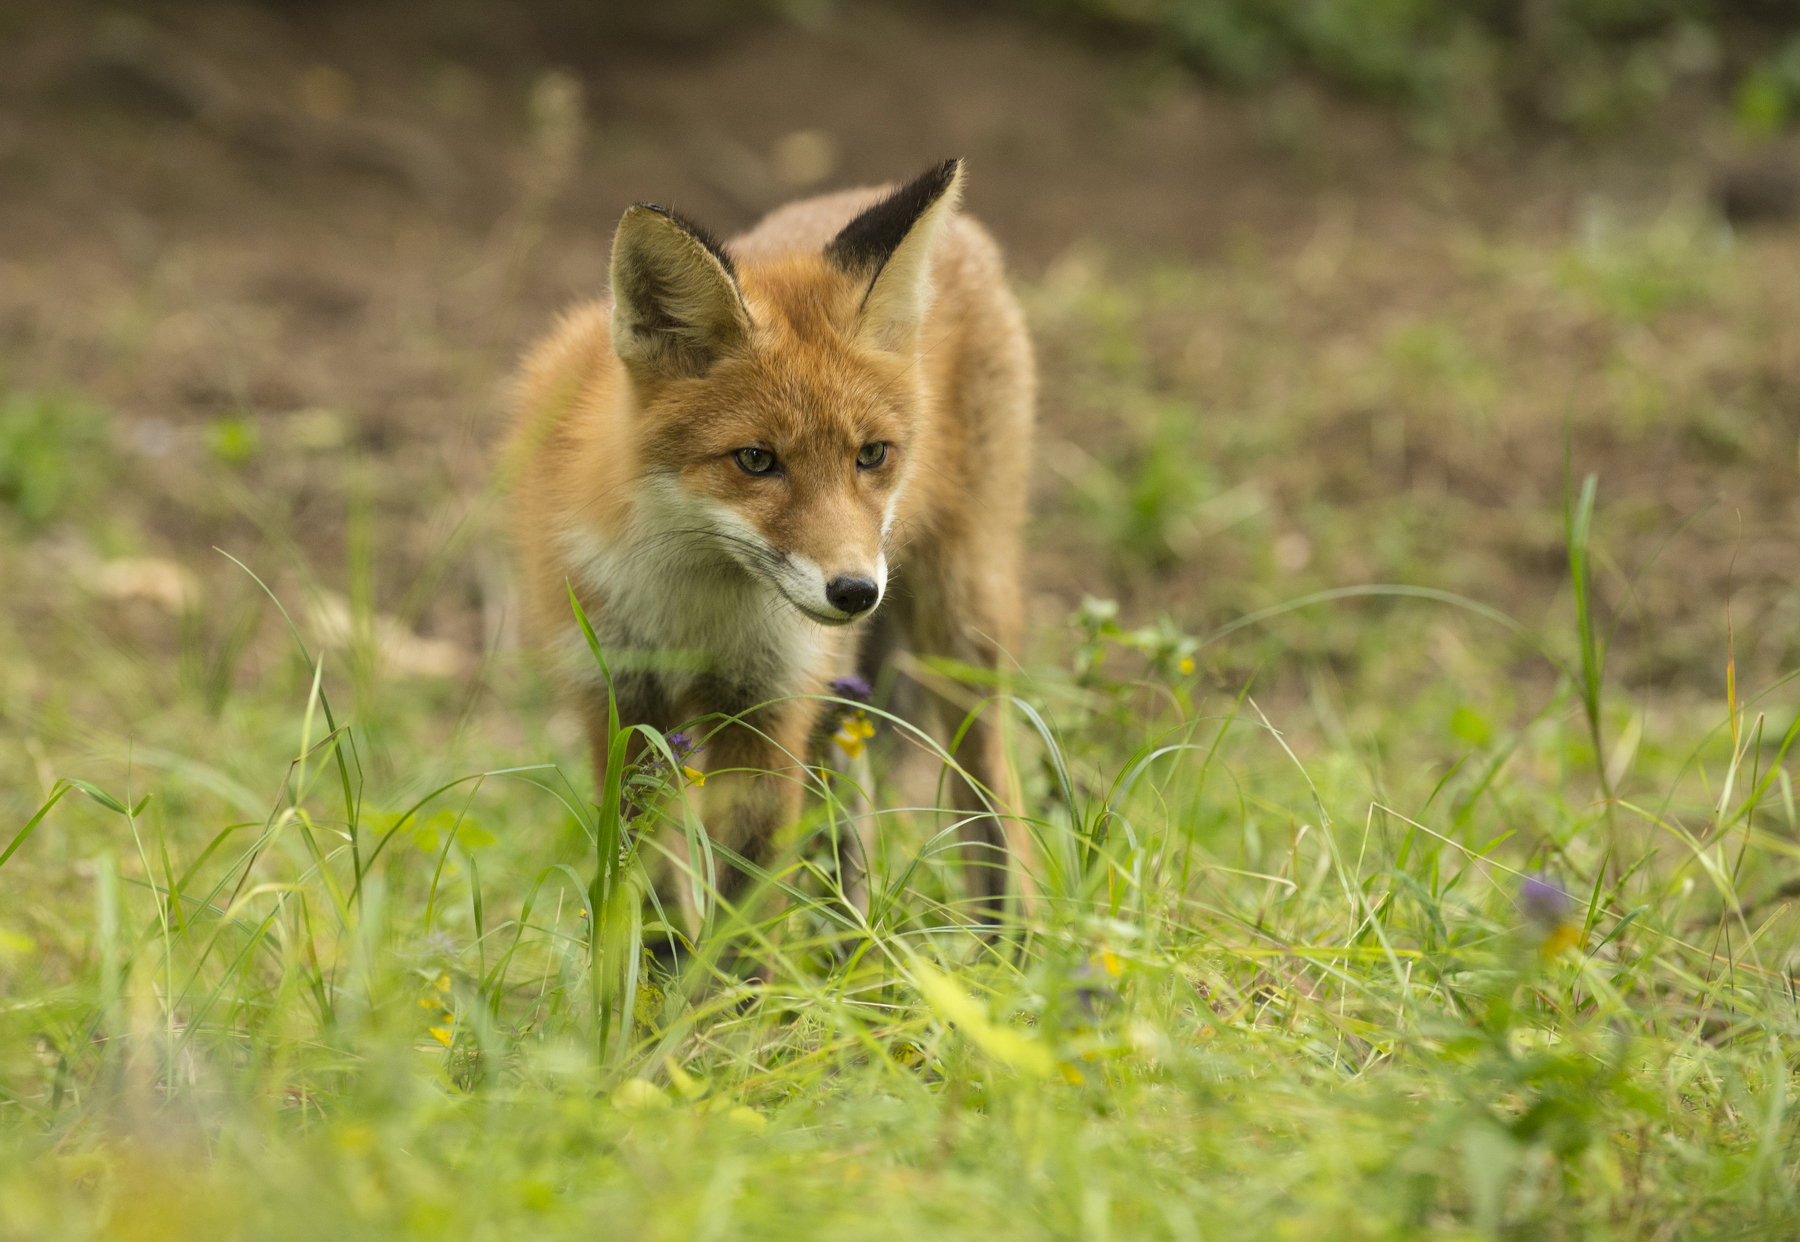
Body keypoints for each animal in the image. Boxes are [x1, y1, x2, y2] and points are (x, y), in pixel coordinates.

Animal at [507, 159, 1044, 936]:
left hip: (961, 630)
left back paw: (1014, 947)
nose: (855, 592)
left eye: (871, 454)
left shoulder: (767, 705)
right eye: (756, 460)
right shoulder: (619, 698)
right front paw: (658, 973)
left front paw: (729, 975)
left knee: (991, 804)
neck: (695, 608)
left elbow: (746, 916)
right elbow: (653, 898)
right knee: (848, 817)